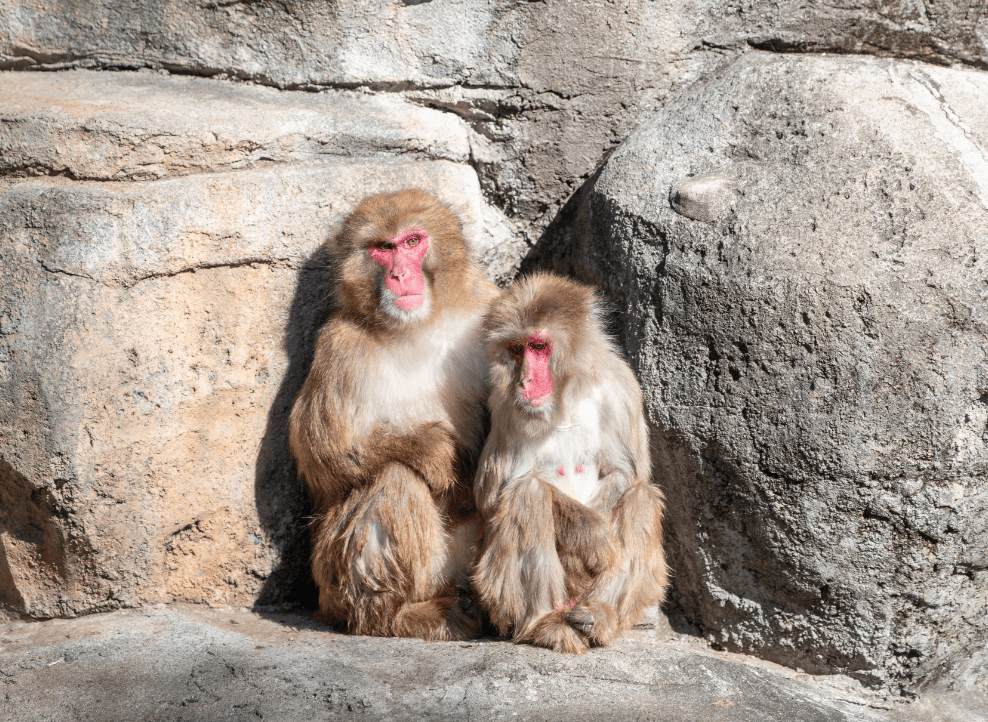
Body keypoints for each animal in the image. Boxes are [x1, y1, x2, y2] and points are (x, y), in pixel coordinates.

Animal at [290, 188, 498, 640]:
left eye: (412, 241)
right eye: (382, 248)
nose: (400, 274)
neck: (417, 327)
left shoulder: (491, 306)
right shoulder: (339, 345)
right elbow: (321, 452)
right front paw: (432, 450)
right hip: (333, 578)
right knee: (394, 477)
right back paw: (400, 615)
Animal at [472, 272, 672, 652]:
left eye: (538, 346)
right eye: (516, 349)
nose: (525, 380)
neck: (565, 397)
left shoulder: (620, 387)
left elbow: (626, 472)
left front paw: (602, 539)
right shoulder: (504, 407)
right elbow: (494, 499)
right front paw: (594, 536)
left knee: (641, 496)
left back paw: (599, 615)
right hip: (496, 593)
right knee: (529, 495)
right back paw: (545, 623)